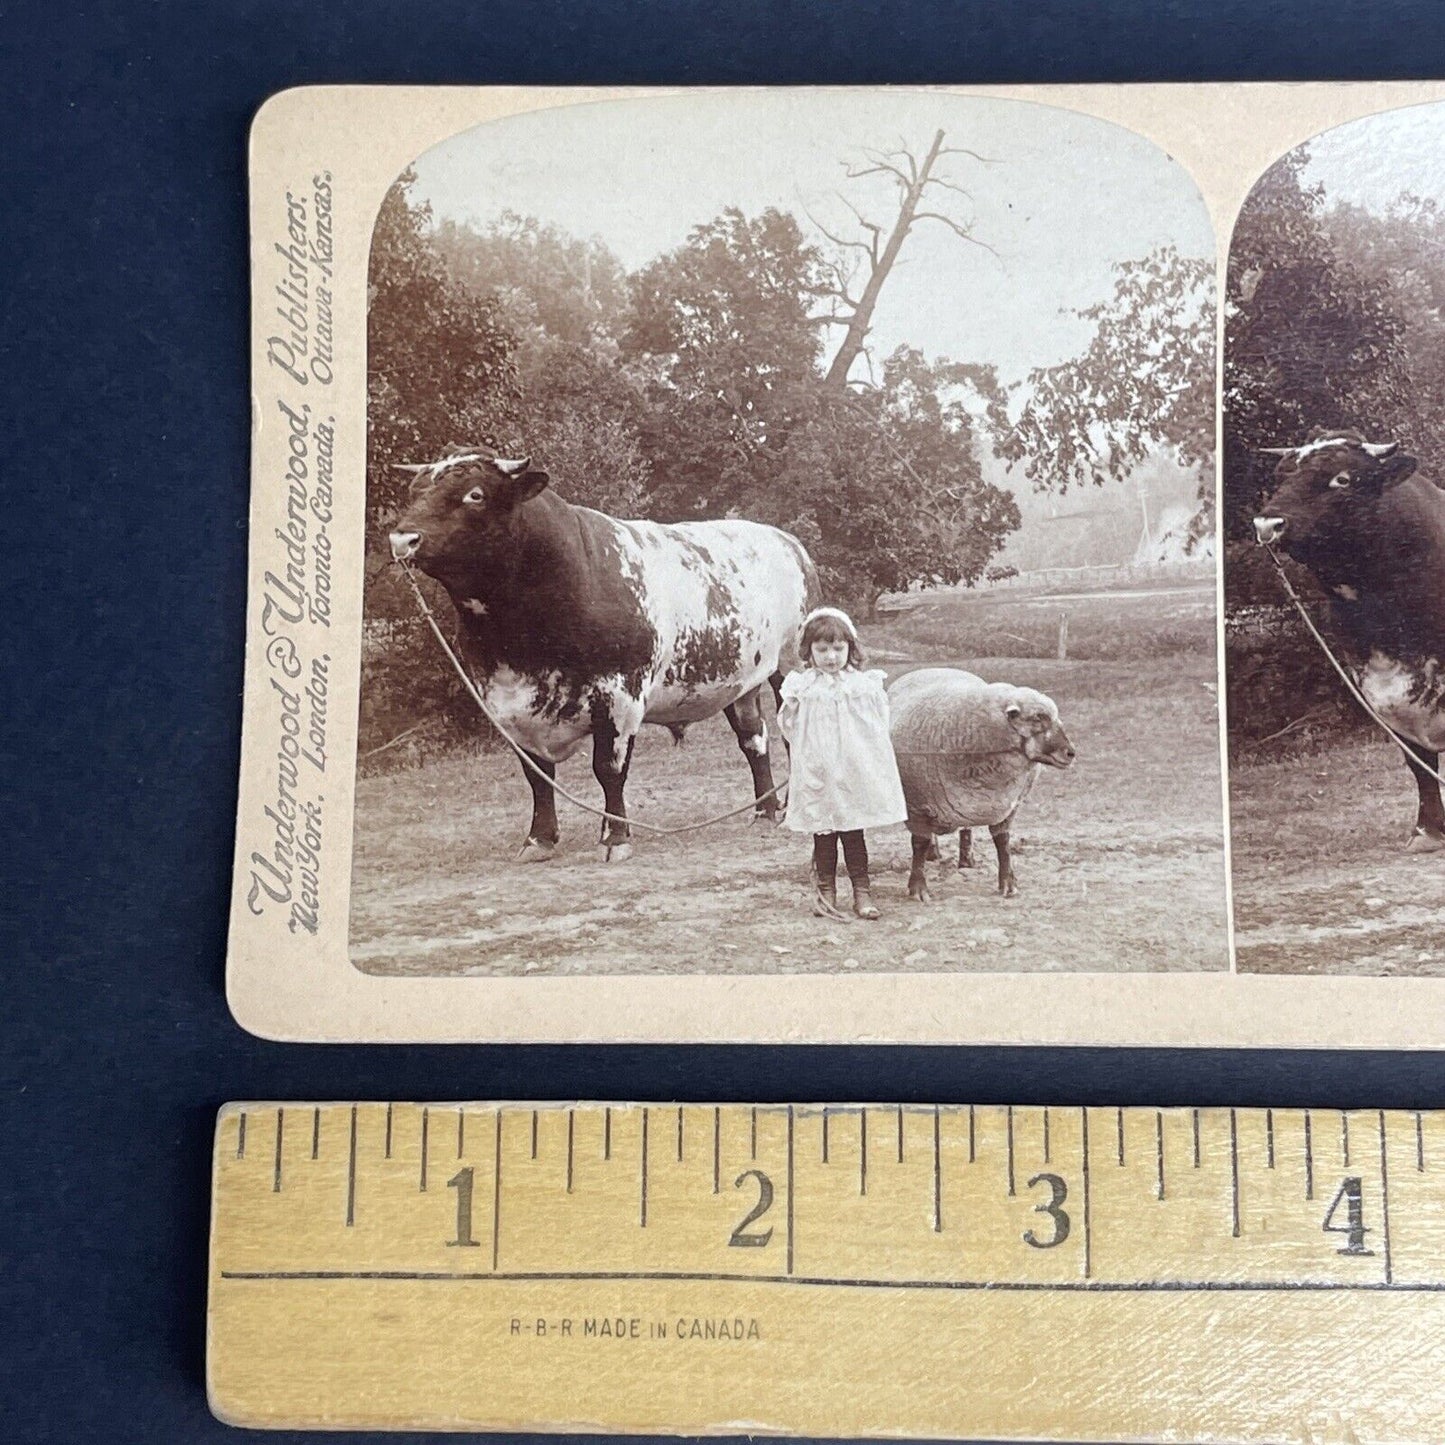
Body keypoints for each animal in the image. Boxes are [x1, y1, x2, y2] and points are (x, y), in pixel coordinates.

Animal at [884, 667, 1080, 895]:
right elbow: (919, 844)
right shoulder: (915, 806)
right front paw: (918, 888)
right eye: (1038, 718)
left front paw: (1008, 883)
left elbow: (1003, 842)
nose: (1071, 753)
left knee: (966, 829)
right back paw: (934, 853)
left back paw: (966, 860)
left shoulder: (1007, 805)